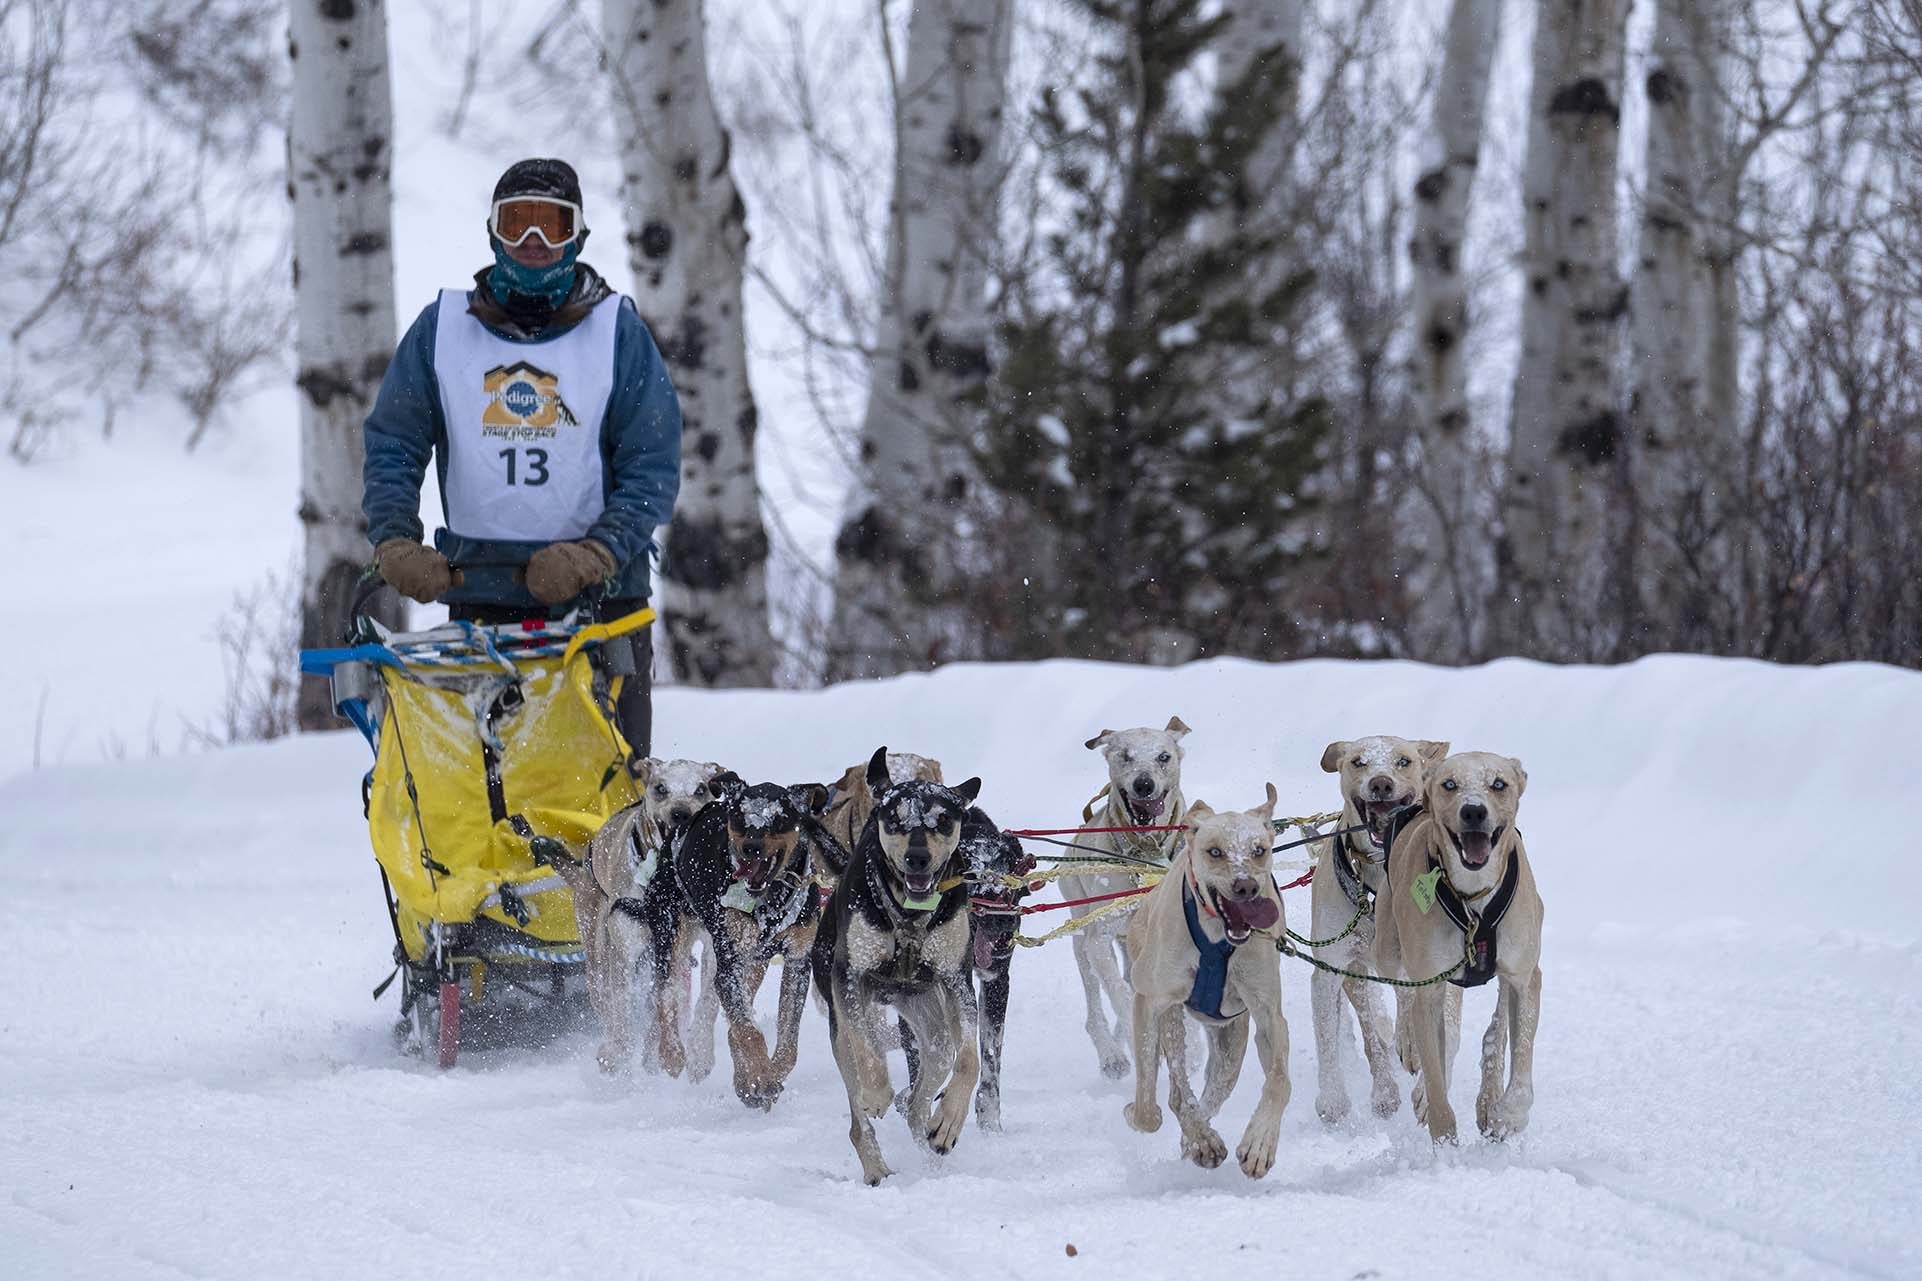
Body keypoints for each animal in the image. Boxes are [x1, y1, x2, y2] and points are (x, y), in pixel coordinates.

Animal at [661, 769, 841, 1107]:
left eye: (779, 819)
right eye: (740, 817)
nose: (751, 847)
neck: (768, 900)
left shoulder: (797, 960)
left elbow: (787, 1037)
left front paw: (766, 1075)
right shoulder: (729, 961)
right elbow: (748, 1031)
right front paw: (760, 1078)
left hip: (754, 962)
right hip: (670, 932)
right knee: (665, 993)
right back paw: (671, 1054)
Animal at [811, 742, 991, 1184]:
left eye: (942, 819)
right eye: (894, 819)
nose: (917, 858)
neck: (909, 916)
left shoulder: (956, 981)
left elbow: (970, 1059)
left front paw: (949, 1121)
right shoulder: (849, 978)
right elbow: (867, 1048)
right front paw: (877, 1092)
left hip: (932, 1024)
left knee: (925, 1086)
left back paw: (928, 1129)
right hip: (839, 1029)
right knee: (858, 1114)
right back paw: (877, 1167)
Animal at [1122, 788, 1299, 1177]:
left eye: (1259, 850)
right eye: (1215, 851)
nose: (1246, 886)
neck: (1218, 937)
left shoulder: (1269, 1016)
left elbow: (1280, 1081)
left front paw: (1260, 1143)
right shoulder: (1149, 1001)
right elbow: (1147, 1107)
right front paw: (1142, 1114)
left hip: (1231, 1042)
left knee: (1213, 1090)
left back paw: (1199, 1136)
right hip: (1171, 1016)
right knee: (1177, 1088)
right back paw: (1199, 1136)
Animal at [1314, 738, 1445, 1115]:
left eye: (1404, 761)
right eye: (1358, 761)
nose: (1381, 783)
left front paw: (1426, 1087)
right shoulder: (1331, 968)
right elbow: (1331, 1036)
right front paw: (1333, 1098)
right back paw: (1384, 1089)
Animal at [1376, 750, 1537, 1138]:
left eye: (1499, 784)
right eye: (1450, 784)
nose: (1474, 811)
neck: (1473, 899)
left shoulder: (1526, 976)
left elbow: (1522, 1064)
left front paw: (1508, 1114)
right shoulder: (1430, 987)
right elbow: (1436, 1081)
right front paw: (1444, 1138)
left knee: (1497, 1024)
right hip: (1387, 947)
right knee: (1404, 994)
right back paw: (1408, 1041)